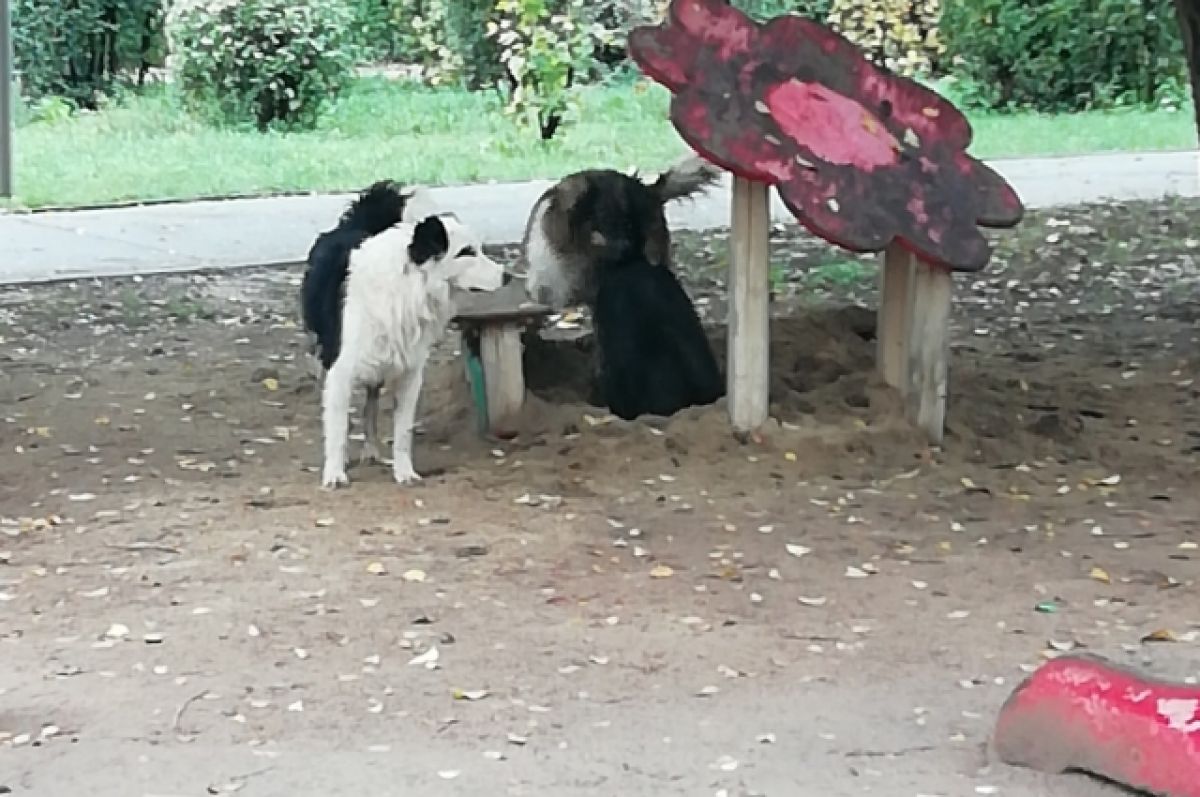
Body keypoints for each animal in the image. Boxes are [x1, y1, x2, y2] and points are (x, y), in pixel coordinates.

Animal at [302, 181, 508, 489]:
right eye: (466, 252)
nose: (507, 277)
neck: (406, 286)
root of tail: (356, 225)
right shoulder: (341, 373)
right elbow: (338, 428)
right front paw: (335, 473)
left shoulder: (411, 374)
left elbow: (402, 433)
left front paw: (404, 472)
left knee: (371, 407)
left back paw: (371, 450)